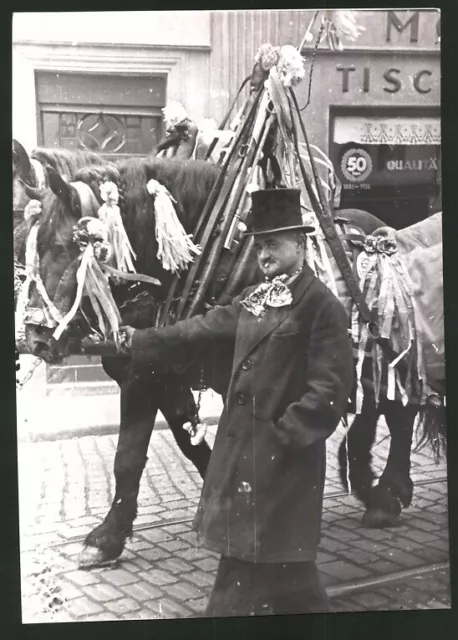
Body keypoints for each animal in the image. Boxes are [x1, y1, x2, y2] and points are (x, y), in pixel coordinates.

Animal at [17, 152, 422, 568]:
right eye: (25, 247)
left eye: (64, 248)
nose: (35, 337)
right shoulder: (157, 375)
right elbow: (170, 447)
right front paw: (112, 536)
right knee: (377, 407)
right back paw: (370, 484)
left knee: (402, 410)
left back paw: (389, 493)